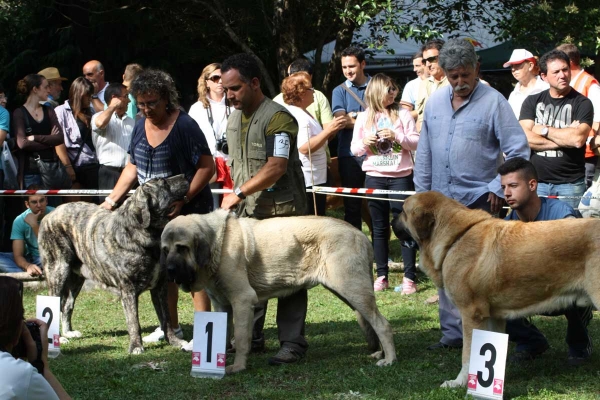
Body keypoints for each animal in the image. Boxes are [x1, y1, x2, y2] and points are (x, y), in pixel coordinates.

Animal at [39, 175, 189, 354]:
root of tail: (50, 214)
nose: (185, 175)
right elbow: (134, 322)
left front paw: (175, 342)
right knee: (54, 303)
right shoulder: (128, 290)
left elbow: (166, 318)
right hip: (58, 271)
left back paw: (68, 332)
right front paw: (136, 347)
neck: (144, 233)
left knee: (67, 305)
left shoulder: (160, 287)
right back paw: (59, 338)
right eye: (163, 183)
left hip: (76, 278)